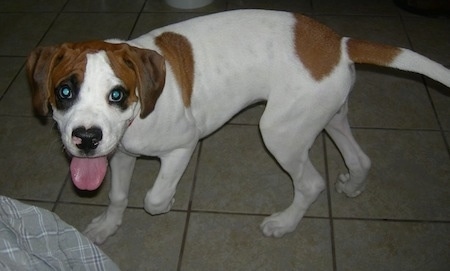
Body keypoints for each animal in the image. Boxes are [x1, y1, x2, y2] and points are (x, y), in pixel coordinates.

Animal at [25, 10, 450, 244]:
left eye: (117, 94)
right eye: (64, 91)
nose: (86, 138)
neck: (144, 103)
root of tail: (338, 42)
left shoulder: (182, 147)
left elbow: (153, 198)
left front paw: (170, 202)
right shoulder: (119, 155)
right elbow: (117, 196)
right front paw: (107, 227)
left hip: (280, 134)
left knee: (311, 183)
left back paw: (285, 223)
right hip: (329, 117)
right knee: (360, 159)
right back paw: (354, 185)